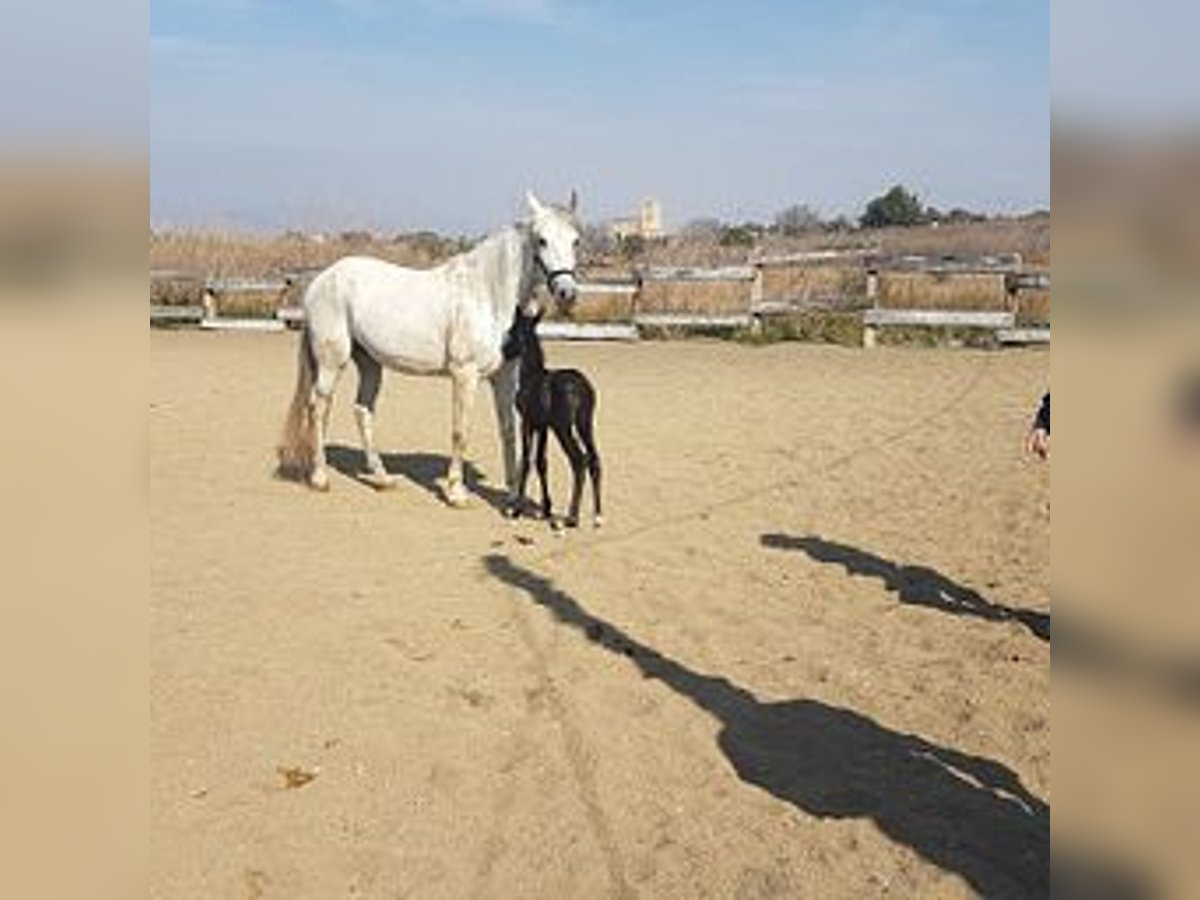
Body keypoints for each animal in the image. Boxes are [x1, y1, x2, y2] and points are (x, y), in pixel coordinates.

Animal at [504, 309, 604, 528]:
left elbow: (527, 461)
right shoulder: (543, 426)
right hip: (585, 425)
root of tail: (580, 388)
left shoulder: (527, 423)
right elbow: (542, 462)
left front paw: (517, 510)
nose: (504, 351)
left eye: (511, 331)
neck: (531, 375)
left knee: (579, 461)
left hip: (563, 428)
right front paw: (546, 509)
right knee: (594, 459)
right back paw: (598, 516)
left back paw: (572, 517)